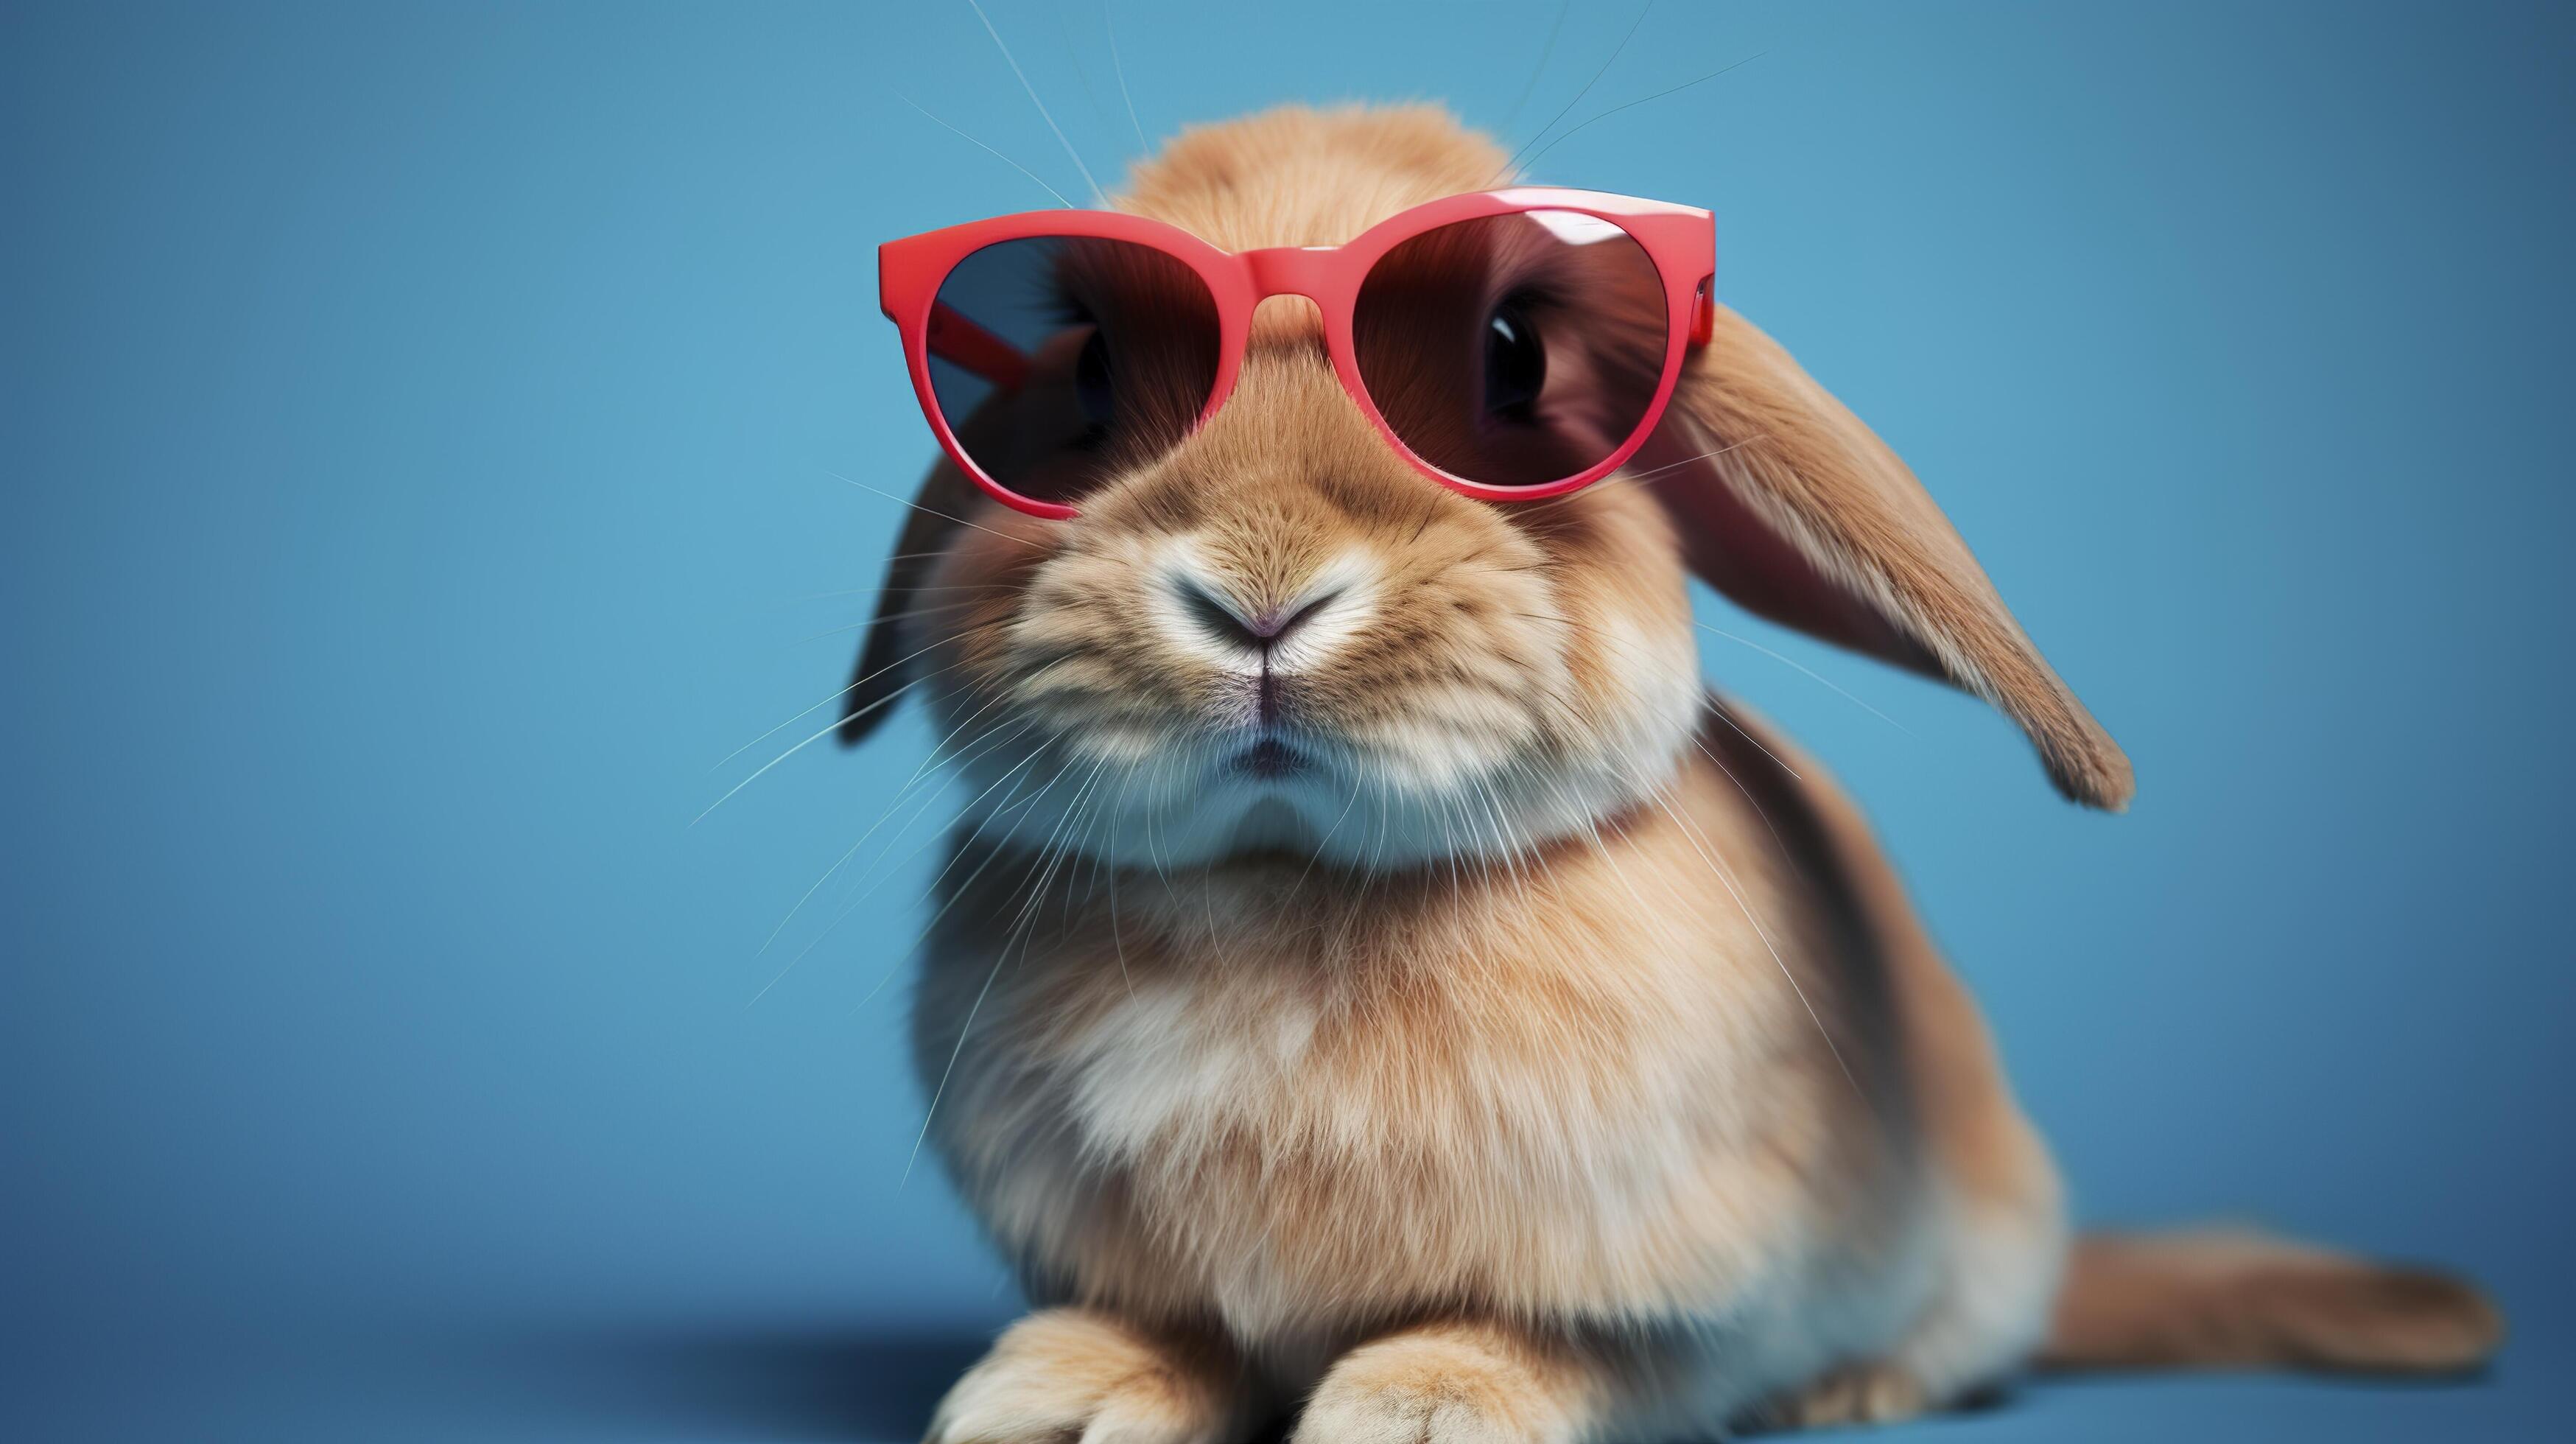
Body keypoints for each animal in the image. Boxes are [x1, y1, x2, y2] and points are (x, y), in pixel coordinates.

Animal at [835, 105, 2501, 1442]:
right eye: (1089, 372)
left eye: (1512, 361)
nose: (1259, 587)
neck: (1287, 880)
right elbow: (1169, 1325)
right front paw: (1055, 1397)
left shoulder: (1698, 1292)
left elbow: (1570, 1347)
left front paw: (1421, 1408)